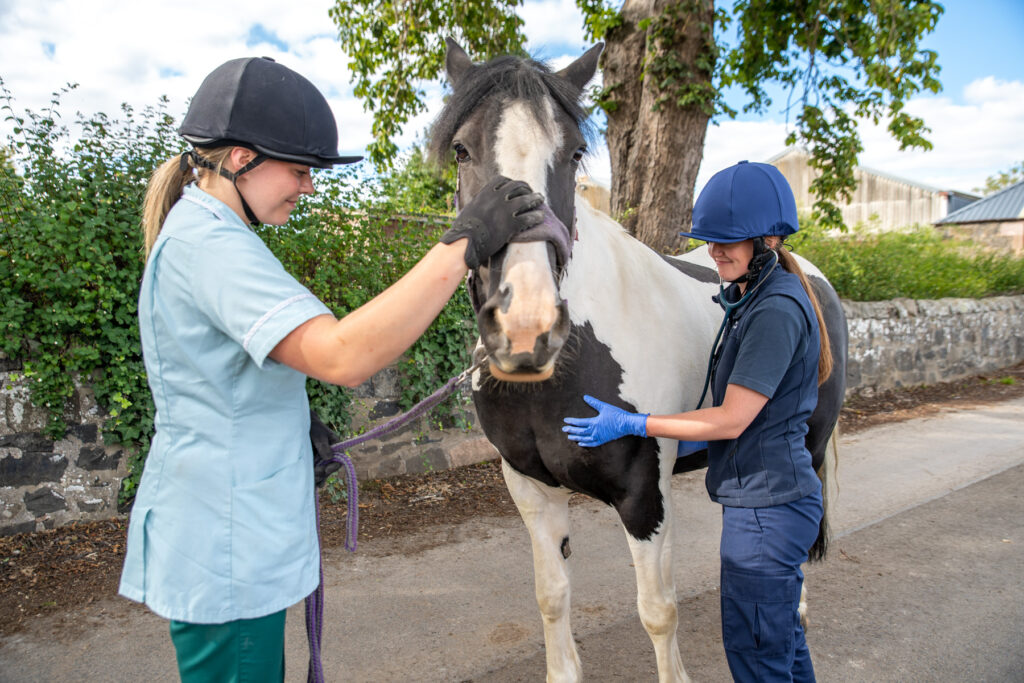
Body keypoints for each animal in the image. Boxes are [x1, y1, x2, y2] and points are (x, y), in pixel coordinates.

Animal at [432, 40, 847, 679]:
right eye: (461, 149)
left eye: (575, 152)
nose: (526, 328)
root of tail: (811, 277)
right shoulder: (532, 491)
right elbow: (552, 596)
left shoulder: (642, 494)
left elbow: (657, 610)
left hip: (811, 440)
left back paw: (796, 610)